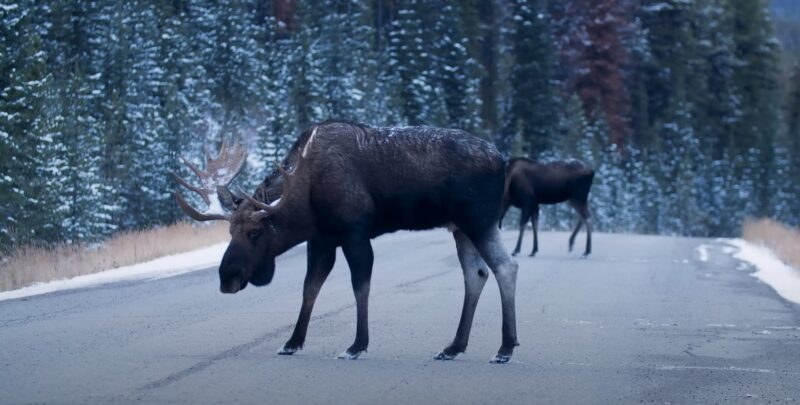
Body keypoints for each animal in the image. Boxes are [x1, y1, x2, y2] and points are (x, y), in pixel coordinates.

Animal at [173, 120, 520, 362]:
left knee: (506, 266)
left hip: (478, 221)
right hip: (459, 228)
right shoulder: (322, 240)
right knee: (476, 274)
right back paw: (453, 347)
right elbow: (310, 288)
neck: (305, 199)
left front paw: (356, 345)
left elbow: (359, 286)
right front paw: (292, 342)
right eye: (230, 232)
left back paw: (505, 348)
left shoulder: (355, 232)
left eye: (255, 233)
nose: (227, 278)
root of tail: (502, 161)